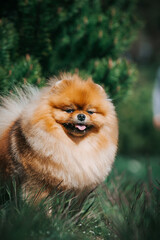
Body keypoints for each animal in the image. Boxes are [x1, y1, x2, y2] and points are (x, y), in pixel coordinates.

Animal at [0, 73, 117, 201]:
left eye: (90, 112)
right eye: (69, 110)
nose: (81, 116)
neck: (75, 145)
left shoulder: (78, 192)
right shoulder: (37, 183)